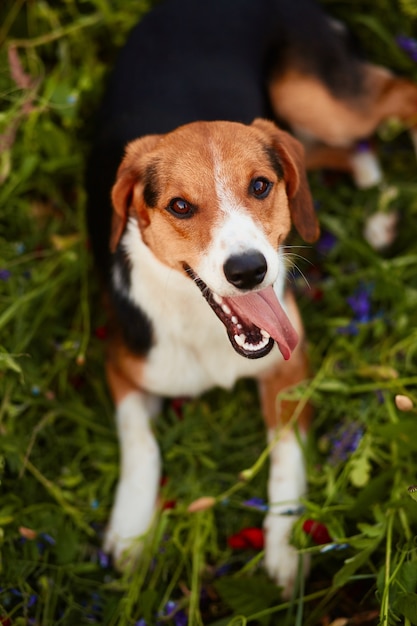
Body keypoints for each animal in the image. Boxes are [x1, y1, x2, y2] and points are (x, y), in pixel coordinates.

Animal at [86, 0, 416, 596]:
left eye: (260, 186)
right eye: (179, 206)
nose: (248, 271)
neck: (206, 330)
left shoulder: (291, 367)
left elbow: (286, 458)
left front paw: (286, 548)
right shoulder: (123, 369)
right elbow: (140, 444)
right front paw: (129, 530)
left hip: (318, 100)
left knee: (401, 100)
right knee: (349, 151)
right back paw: (380, 215)